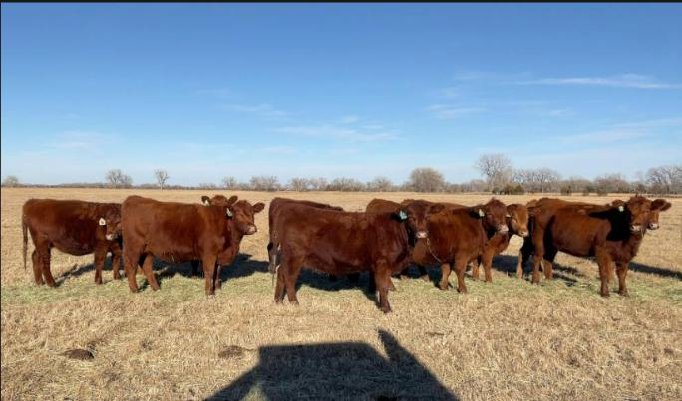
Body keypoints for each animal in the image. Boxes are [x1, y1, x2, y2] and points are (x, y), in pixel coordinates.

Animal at [121, 195, 264, 295]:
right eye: (238, 213)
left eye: (252, 213)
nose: (252, 228)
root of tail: (133, 198)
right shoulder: (209, 253)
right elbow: (209, 271)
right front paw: (209, 292)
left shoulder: (220, 254)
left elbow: (217, 271)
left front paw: (217, 287)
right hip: (133, 247)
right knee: (130, 266)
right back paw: (135, 290)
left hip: (149, 249)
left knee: (147, 266)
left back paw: (156, 288)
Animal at [273, 200, 444, 312]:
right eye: (410, 217)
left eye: (427, 217)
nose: (422, 234)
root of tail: (287, 208)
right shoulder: (382, 262)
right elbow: (383, 286)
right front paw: (386, 308)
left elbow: (379, 285)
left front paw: (382, 304)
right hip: (295, 256)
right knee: (289, 277)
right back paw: (294, 302)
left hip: (288, 257)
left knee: (281, 273)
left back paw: (278, 300)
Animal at [522, 196, 671, 296]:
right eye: (628, 211)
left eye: (646, 210)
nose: (635, 226)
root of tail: (542, 202)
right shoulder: (601, 252)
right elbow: (604, 272)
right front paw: (605, 293)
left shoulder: (625, 255)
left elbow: (622, 274)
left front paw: (624, 292)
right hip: (538, 239)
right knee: (537, 258)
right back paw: (535, 280)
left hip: (552, 243)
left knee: (548, 259)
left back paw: (550, 280)